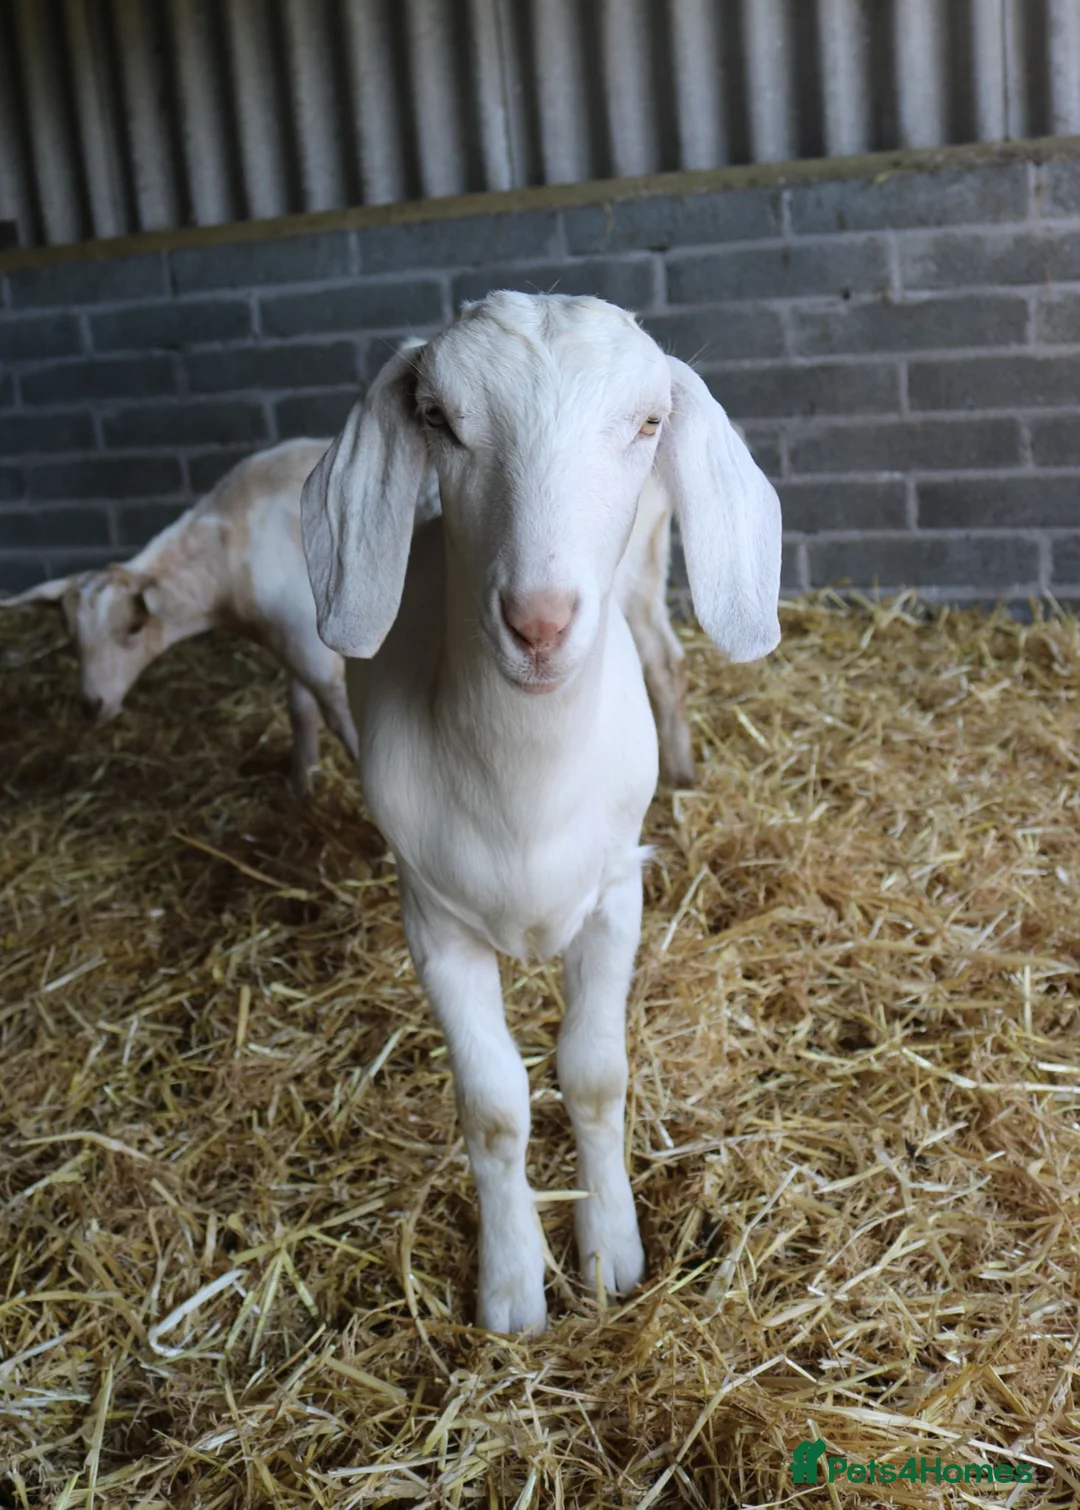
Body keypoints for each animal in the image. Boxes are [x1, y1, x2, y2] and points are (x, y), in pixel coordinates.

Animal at [302, 292, 782, 1332]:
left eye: (647, 424)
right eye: (439, 419)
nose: (540, 623)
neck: (524, 789)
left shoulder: (614, 899)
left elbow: (595, 1077)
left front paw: (610, 1253)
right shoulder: (434, 924)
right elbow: (493, 1108)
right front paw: (514, 1289)